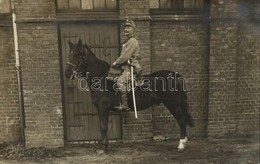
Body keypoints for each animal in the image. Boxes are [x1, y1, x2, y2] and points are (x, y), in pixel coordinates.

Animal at [64, 38, 192, 154]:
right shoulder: (101, 109)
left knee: (181, 120)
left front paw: (103, 148)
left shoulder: (103, 108)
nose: (67, 73)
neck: (101, 78)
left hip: (173, 104)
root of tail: (177, 76)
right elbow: (102, 127)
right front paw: (103, 146)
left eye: (76, 55)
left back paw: (181, 144)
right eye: (69, 54)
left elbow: (103, 127)